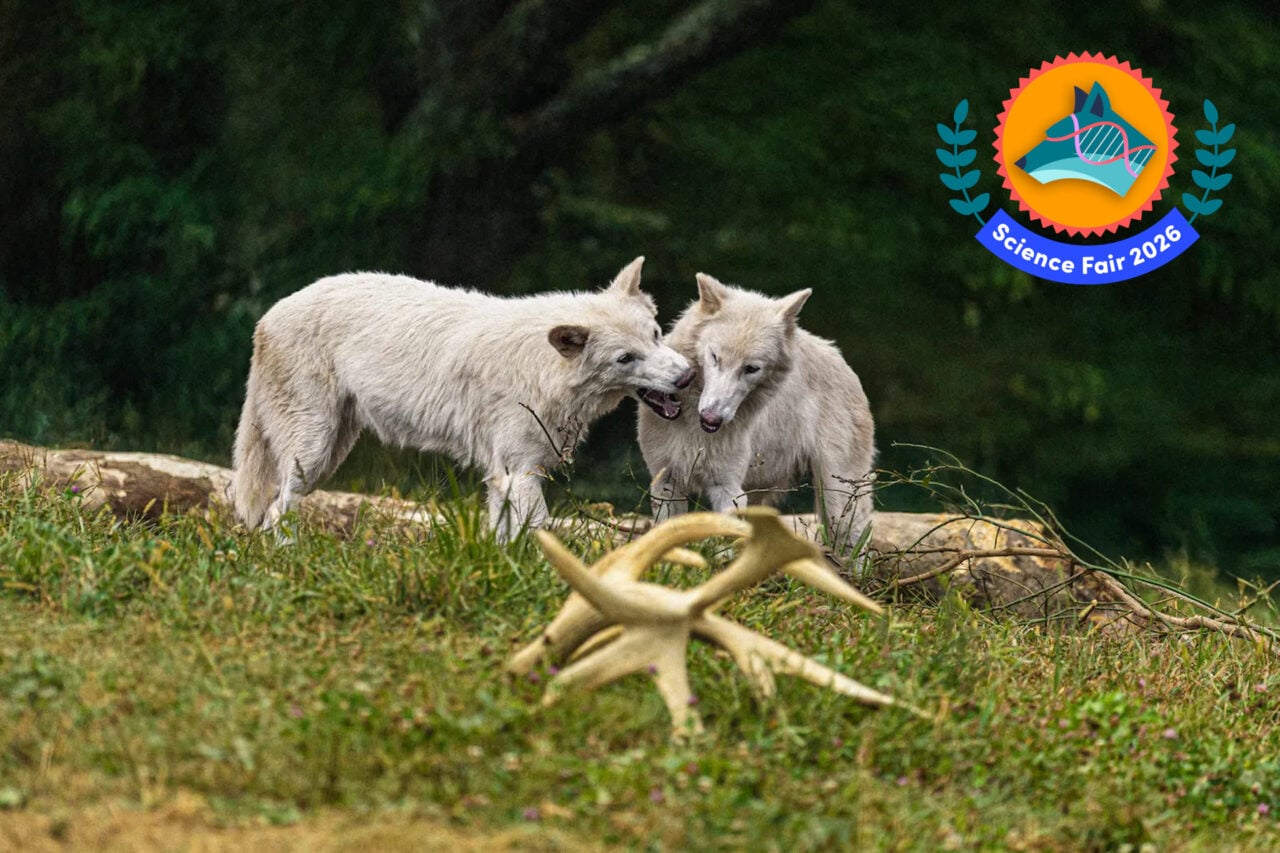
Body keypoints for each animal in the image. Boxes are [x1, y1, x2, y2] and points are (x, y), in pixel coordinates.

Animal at [232, 257, 694, 542]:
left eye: (656, 335)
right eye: (625, 358)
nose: (687, 376)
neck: (543, 369)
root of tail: (268, 316)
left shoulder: (505, 477)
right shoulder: (519, 474)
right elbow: (542, 534)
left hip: (329, 455)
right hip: (312, 454)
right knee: (276, 512)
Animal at [637, 274, 876, 556]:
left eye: (751, 368)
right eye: (715, 357)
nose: (711, 419)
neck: (694, 427)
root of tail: (843, 361)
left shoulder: (727, 488)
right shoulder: (666, 481)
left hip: (838, 496)